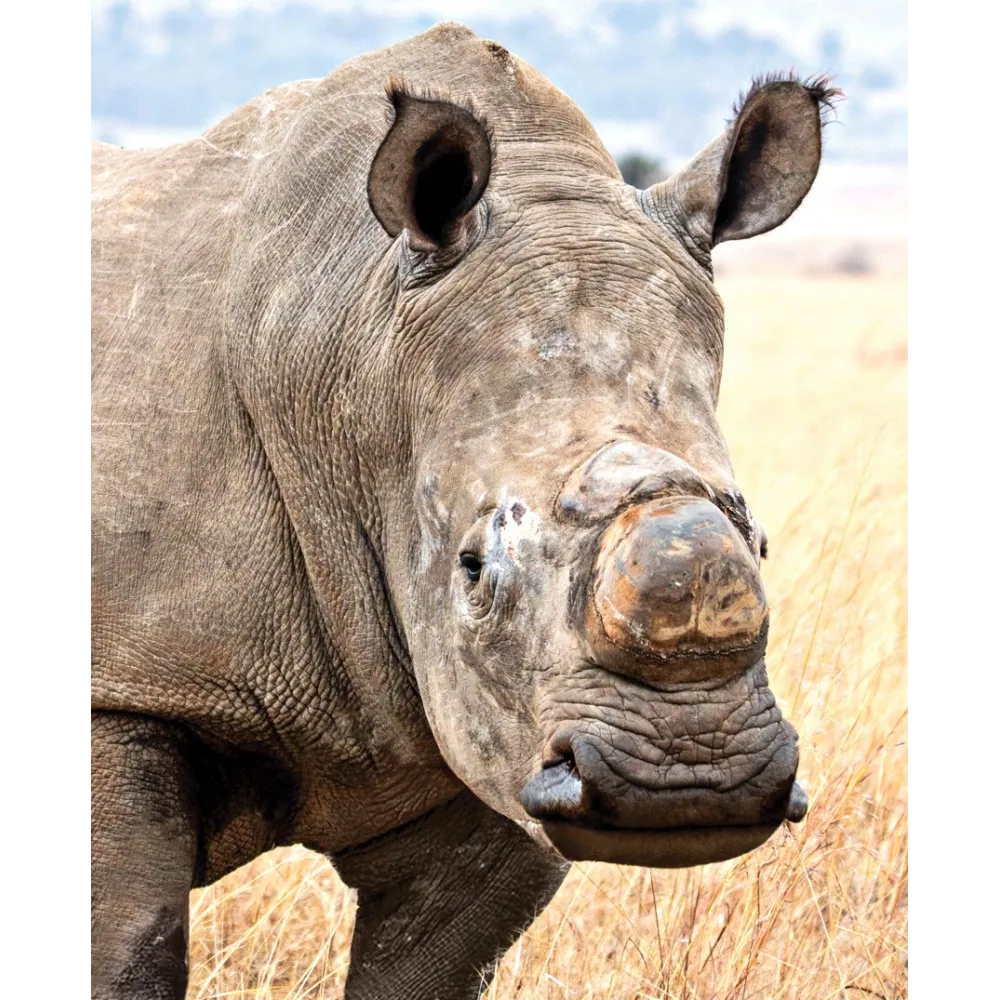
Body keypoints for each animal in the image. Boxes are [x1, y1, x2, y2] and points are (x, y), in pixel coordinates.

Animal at [90, 22, 836, 1000]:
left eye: (761, 540)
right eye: (473, 568)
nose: (689, 775)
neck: (357, 354)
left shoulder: (510, 738)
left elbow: (431, 961)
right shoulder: (125, 687)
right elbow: (126, 953)